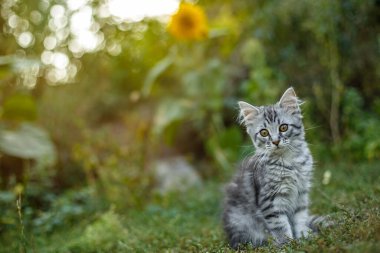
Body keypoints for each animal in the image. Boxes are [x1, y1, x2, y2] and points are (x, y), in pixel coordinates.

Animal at [223, 87, 326, 249]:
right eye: (264, 132)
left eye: (283, 127)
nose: (276, 141)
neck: (290, 162)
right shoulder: (270, 201)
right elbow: (281, 227)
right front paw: (288, 244)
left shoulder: (301, 195)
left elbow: (300, 219)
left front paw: (304, 237)